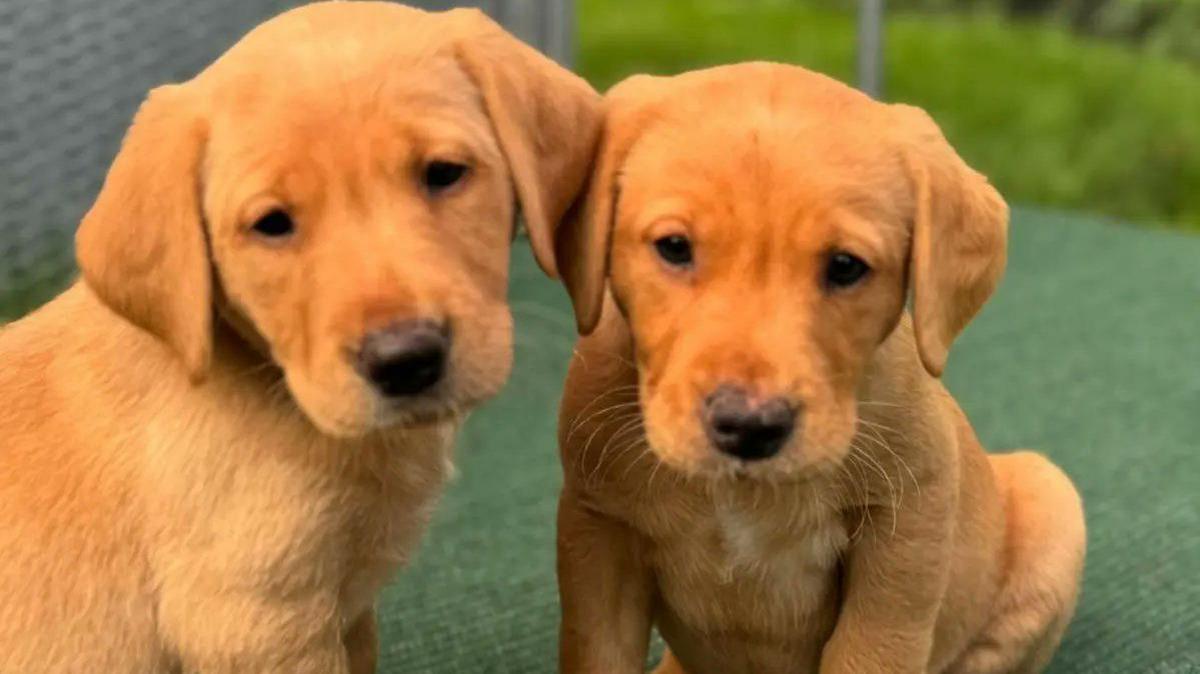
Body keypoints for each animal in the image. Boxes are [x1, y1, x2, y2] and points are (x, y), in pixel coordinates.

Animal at [0, 2, 597, 666]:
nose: (405, 359)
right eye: (272, 224)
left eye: (444, 174)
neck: (269, 384)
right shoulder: (258, 620)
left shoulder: (348, 615)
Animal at [552, 61, 1089, 666]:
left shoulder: (906, 532)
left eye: (846, 266)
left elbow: (871, 653)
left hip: (1051, 501)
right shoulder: (598, 534)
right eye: (673, 247)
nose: (749, 427)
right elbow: (597, 652)